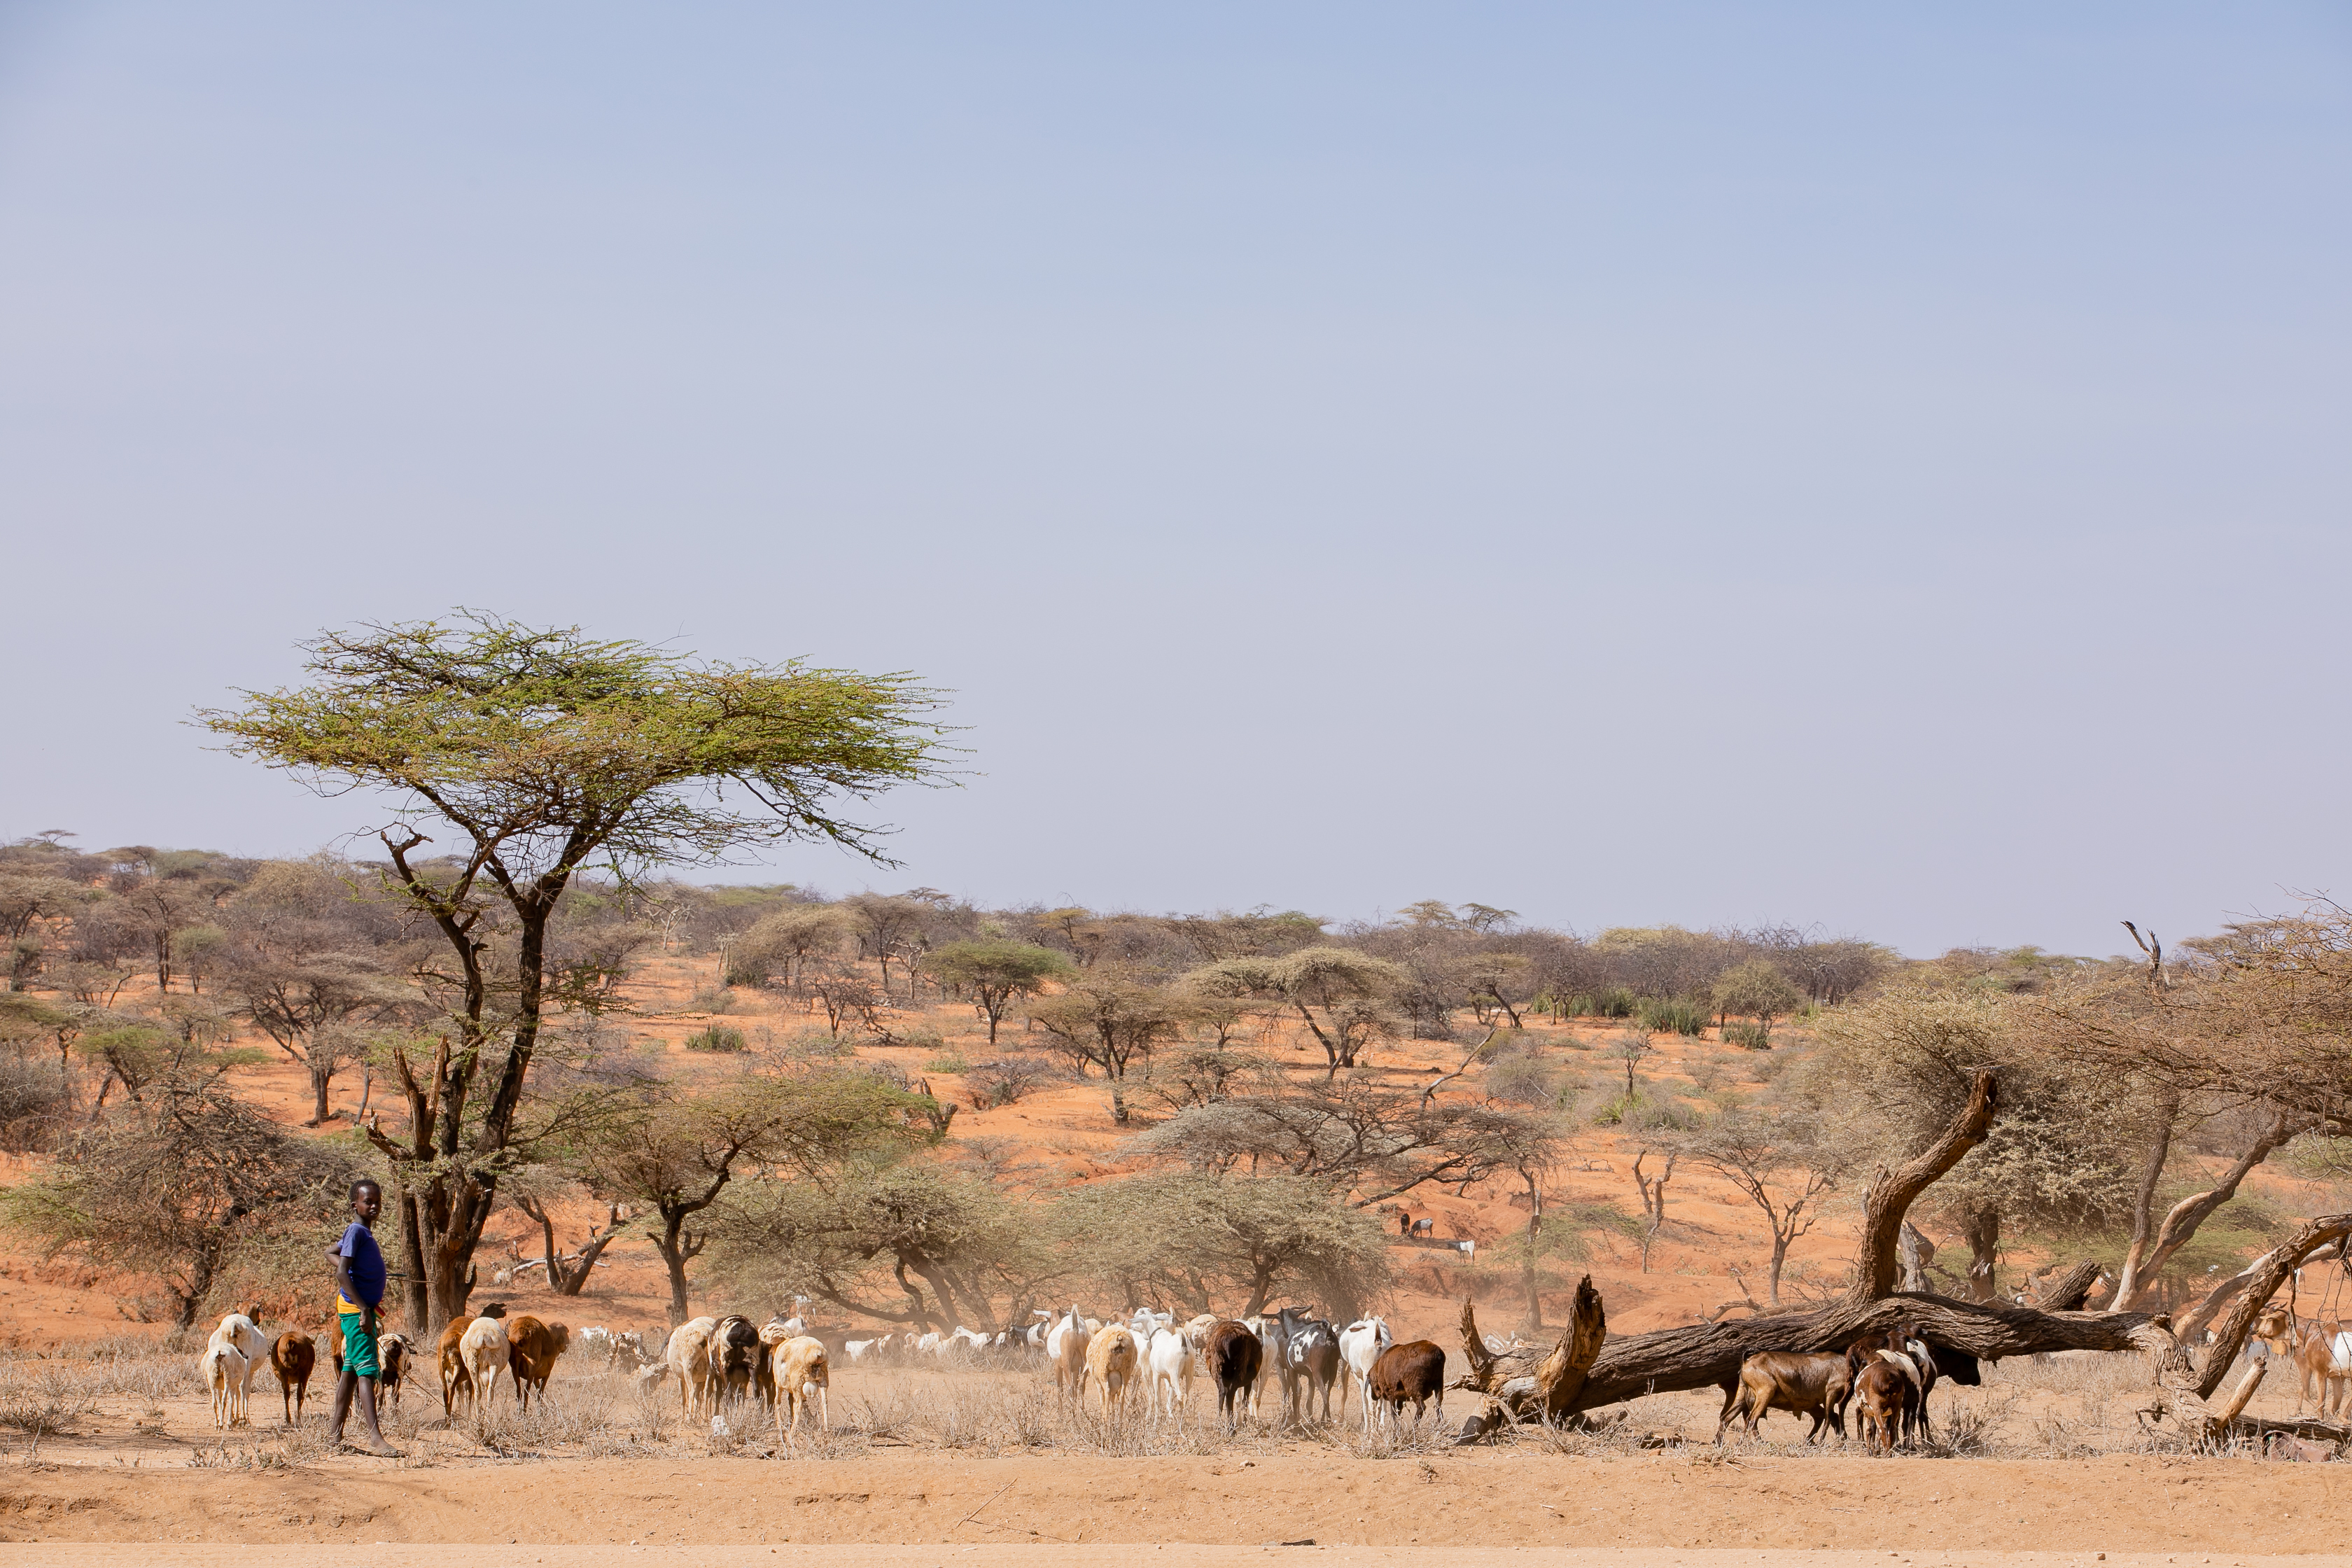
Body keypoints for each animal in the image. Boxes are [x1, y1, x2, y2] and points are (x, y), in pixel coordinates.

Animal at [270, 1332, 317, 1426]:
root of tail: (291, 1341)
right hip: (301, 1373)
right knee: (299, 1394)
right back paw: (297, 1418)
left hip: (286, 1373)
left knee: (288, 1394)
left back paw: (289, 1419)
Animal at [505, 1315, 570, 1410]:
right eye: (566, 1332)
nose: (568, 1343)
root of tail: (521, 1334)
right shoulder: (546, 1373)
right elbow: (540, 1393)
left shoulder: (535, 1378)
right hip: (532, 1366)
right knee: (526, 1390)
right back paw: (524, 1413)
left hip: (515, 1367)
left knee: (519, 1392)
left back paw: (519, 1412)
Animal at [1206, 1319, 1262, 1432]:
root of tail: (1227, 1342)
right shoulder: (1248, 1382)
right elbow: (1245, 1401)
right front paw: (1244, 1424)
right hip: (1240, 1368)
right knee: (1230, 1394)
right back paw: (1232, 1429)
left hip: (1217, 1366)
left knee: (1222, 1393)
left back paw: (1220, 1426)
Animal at [1367, 1340, 1446, 1432]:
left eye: (1370, 1383)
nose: (1373, 1396)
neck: (1380, 1368)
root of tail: (1437, 1354)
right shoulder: (1400, 1397)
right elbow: (1398, 1412)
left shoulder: (1390, 1394)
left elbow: (1394, 1413)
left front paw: (1396, 1432)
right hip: (1439, 1382)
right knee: (1438, 1405)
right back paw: (1440, 1427)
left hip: (1415, 1388)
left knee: (1421, 1407)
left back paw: (1413, 1428)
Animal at [1714, 1351, 1853, 1444]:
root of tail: (1747, 1361)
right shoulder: (1831, 1394)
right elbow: (1830, 1418)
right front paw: (1823, 1441)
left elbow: (1831, 1417)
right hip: (1766, 1393)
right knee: (1751, 1419)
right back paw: (1755, 1442)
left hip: (1742, 1397)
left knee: (1726, 1418)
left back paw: (1719, 1442)